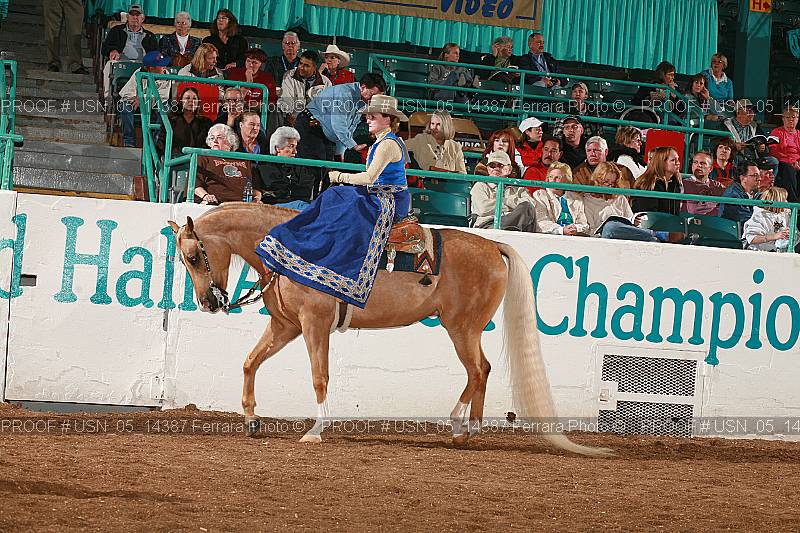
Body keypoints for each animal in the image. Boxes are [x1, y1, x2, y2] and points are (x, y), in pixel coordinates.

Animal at [168, 202, 613, 457]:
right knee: (481, 370)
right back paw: (467, 431)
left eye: (191, 256)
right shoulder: (285, 326)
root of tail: (493, 246)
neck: (293, 247)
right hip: (465, 329)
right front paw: (251, 420)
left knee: (477, 370)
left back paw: (460, 425)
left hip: (461, 327)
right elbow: (249, 362)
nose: (209, 303)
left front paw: (315, 431)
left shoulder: (314, 325)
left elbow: (319, 377)